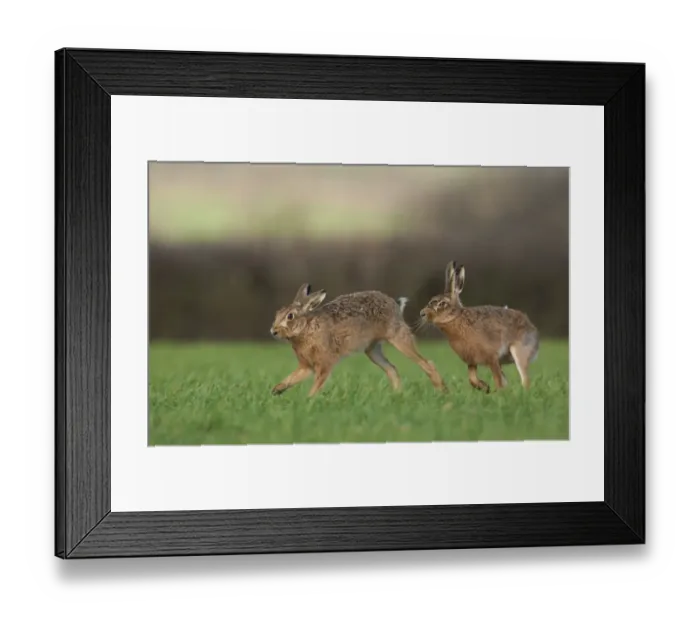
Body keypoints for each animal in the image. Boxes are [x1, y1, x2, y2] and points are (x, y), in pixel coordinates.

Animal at [270, 283, 447, 397]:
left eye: (290, 316)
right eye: (277, 313)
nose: (273, 331)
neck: (306, 328)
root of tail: (395, 304)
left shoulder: (325, 363)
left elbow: (318, 383)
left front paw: (309, 399)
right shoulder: (306, 366)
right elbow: (292, 378)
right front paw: (276, 390)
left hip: (398, 338)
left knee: (426, 363)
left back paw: (442, 391)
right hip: (372, 350)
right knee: (392, 369)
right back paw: (397, 395)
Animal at [418, 261, 539, 393]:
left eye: (442, 303)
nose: (422, 313)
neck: (456, 318)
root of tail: (532, 328)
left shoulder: (491, 357)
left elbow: (497, 380)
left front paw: (496, 392)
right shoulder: (472, 360)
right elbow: (472, 378)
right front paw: (484, 387)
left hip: (518, 351)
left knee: (524, 379)